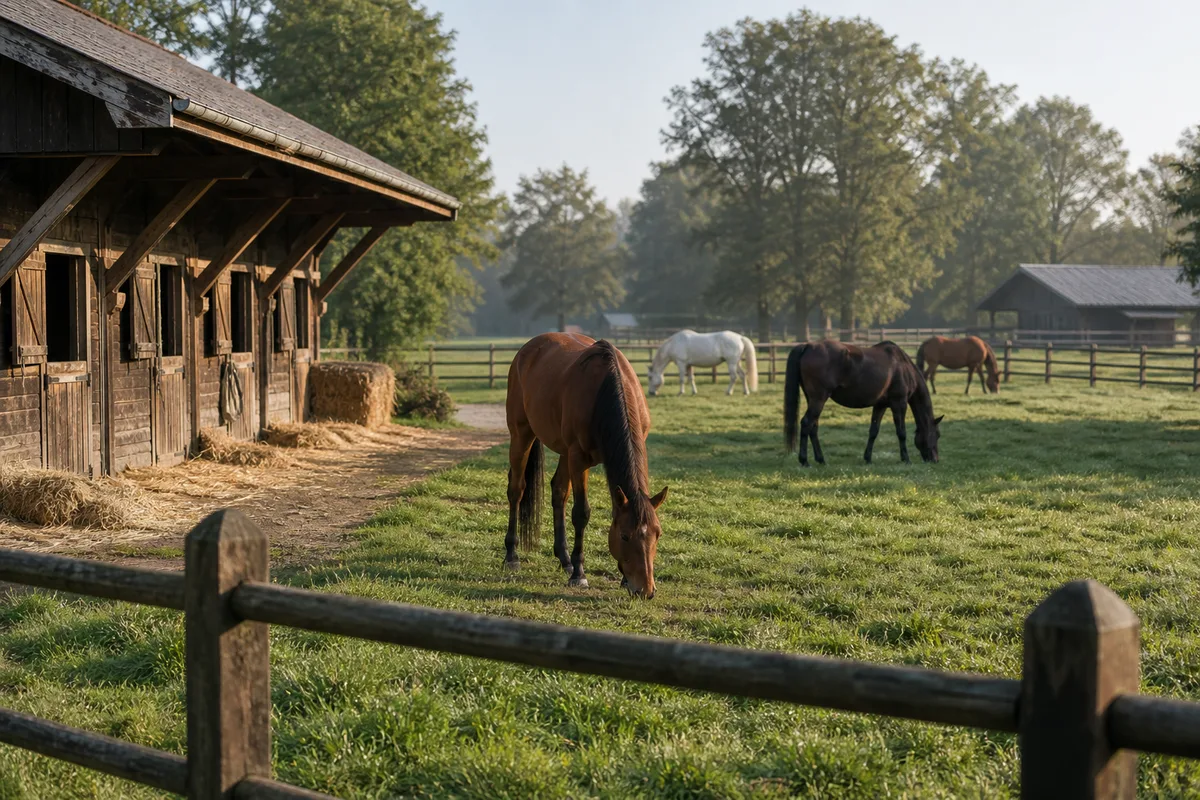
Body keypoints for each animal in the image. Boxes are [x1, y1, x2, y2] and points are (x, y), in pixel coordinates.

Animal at [505, 333, 669, 597]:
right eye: (625, 536)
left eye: (657, 534)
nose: (645, 590)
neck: (607, 391)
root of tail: (527, 349)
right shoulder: (579, 458)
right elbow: (581, 513)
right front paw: (579, 574)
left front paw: (621, 578)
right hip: (522, 434)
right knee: (516, 490)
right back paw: (512, 555)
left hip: (562, 450)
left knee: (558, 492)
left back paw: (564, 559)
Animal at [783, 340, 942, 466]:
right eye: (937, 435)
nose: (935, 460)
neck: (903, 367)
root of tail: (808, 346)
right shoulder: (899, 403)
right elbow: (901, 432)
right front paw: (906, 459)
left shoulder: (880, 405)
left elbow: (873, 431)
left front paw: (868, 459)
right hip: (819, 399)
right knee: (806, 423)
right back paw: (804, 461)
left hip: (812, 399)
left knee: (813, 426)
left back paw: (821, 459)